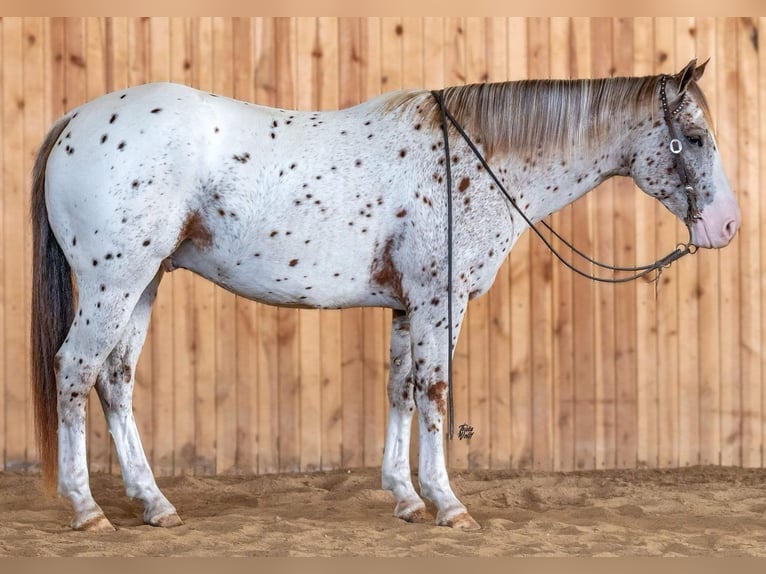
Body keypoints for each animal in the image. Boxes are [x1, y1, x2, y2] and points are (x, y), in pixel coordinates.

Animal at [31, 58, 739, 532]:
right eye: (694, 138)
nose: (726, 226)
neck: (472, 160)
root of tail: (75, 119)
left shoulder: (406, 307)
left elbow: (400, 388)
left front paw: (405, 496)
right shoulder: (439, 302)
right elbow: (435, 391)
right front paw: (448, 505)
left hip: (143, 284)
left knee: (115, 379)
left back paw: (154, 504)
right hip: (113, 285)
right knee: (75, 371)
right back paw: (86, 508)